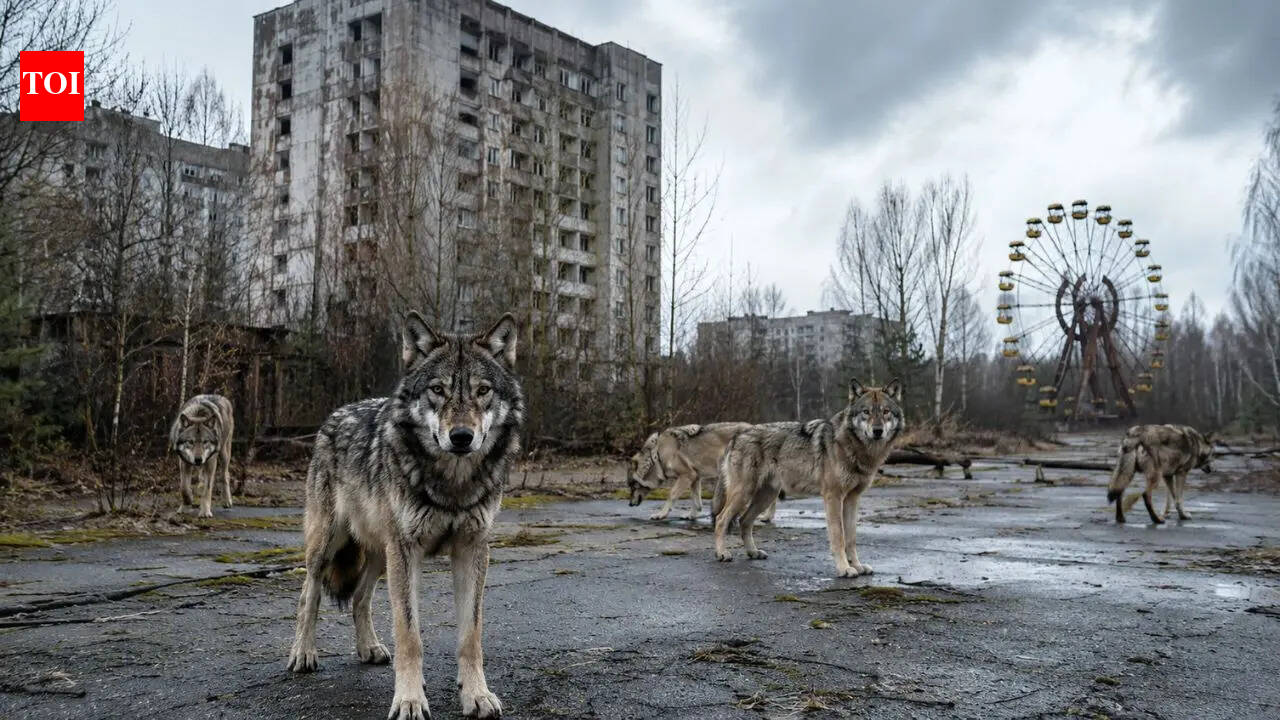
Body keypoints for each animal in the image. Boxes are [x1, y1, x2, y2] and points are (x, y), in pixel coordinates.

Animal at [286, 312, 521, 720]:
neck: (452, 483)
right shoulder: (406, 551)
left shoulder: (472, 550)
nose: (462, 436)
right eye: (438, 390)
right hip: (330, 544)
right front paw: (410, 700)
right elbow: (409, 635)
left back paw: (369, 648)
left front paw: (476, 695)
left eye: (482, 391)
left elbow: (471, 635)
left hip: (382, 555)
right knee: (309, 593)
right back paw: (303, 652)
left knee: (360, 598)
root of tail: (335, 414)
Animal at [627, 422, 770, 521]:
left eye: (632, 487)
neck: (657, 455)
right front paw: (691, 516)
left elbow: (671, 495)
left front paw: (661, 515)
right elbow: (696, 500)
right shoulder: (695, 477)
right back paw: (766, 518)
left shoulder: (687, 476)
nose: (629, 504)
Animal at [712, 379, 903, 577]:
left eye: (885, 412)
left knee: (744, 521)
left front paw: (857, 565)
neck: (856, 448)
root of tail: (737, 436)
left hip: (766, 497)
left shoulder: (852, 499)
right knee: (721, 519)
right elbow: (839, 536)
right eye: (866, 412)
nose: (877, 431)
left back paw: (753, 552)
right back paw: (722, 553)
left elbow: (851, 538)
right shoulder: (833, 497)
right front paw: (844, 568)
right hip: (744, 494)